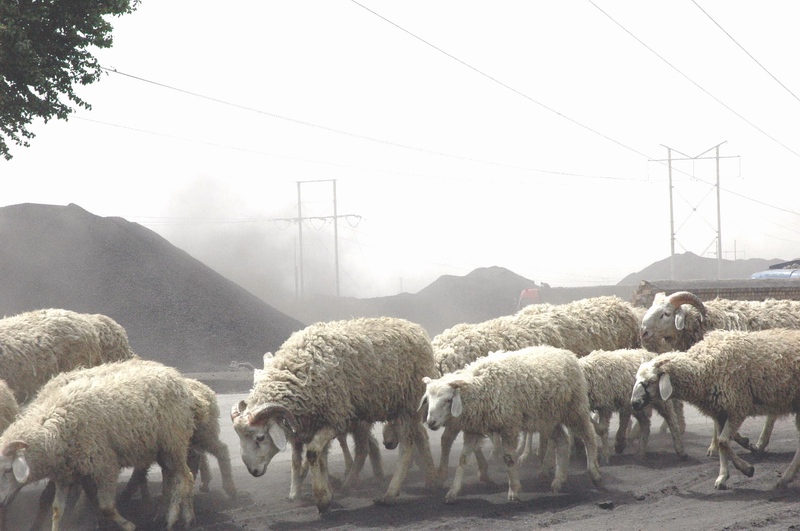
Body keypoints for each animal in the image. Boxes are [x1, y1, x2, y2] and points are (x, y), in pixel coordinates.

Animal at [0, 360, 197, 528]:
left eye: (8, 470)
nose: (1, 502)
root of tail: (173, 373)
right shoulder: (65, 474)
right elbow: (57, 511)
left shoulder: (105, 465)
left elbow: (106, 507)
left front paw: (128, 525)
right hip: (161, 448)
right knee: (172, 476)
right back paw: (171, 515)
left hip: (174, 441)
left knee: (185, 476)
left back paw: (177, 519)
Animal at [231, 318, 438, 512]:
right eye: (240, 438)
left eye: (260, 437)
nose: (253, 471)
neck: (298, 374)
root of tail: (416, 328)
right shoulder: (313, 423)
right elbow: (313, 458)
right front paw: (323, 492)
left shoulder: (335, 418)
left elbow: (313, 453)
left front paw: (322, 499)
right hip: (397, 408)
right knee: (417, 437)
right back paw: (430, 480)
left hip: (408, 404)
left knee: (406, 446)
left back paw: (390, 493)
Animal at [424, 348, 600, 504]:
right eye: (428, 399)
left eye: (448, 400)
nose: (431, 423)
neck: (481, 387)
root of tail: (566, 353)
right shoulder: (473, 430)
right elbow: (462, 459)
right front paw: (453, 491)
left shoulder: (509, 426)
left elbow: (508, 458)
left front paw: (514, 490)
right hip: (547, 419)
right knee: (563, 441)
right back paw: (558, 480)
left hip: (574, 408)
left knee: (589, 435)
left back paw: (594, 473)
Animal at [632, 330, 800, 492]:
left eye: (650, 382)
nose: (634, 403)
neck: (703, 367)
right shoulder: (721, 412)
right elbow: (721, 443)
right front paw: (723, 477)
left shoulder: (736, 409)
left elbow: (723, 441)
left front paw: (746, 469)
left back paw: (784, 478)